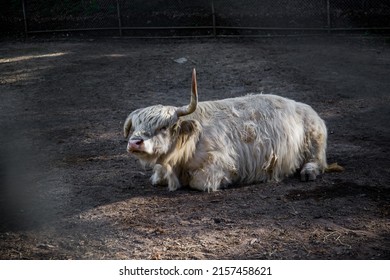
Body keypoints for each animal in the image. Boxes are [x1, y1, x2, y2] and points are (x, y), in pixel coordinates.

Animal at [125, 69, 342, 191]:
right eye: (136, 126)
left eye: (163, 127)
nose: (135, 143)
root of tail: (305, 108)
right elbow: (156, 178)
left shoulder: (220, 164)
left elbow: (199, 183)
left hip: (314, 143)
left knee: (317, 162)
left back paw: (308, 172)